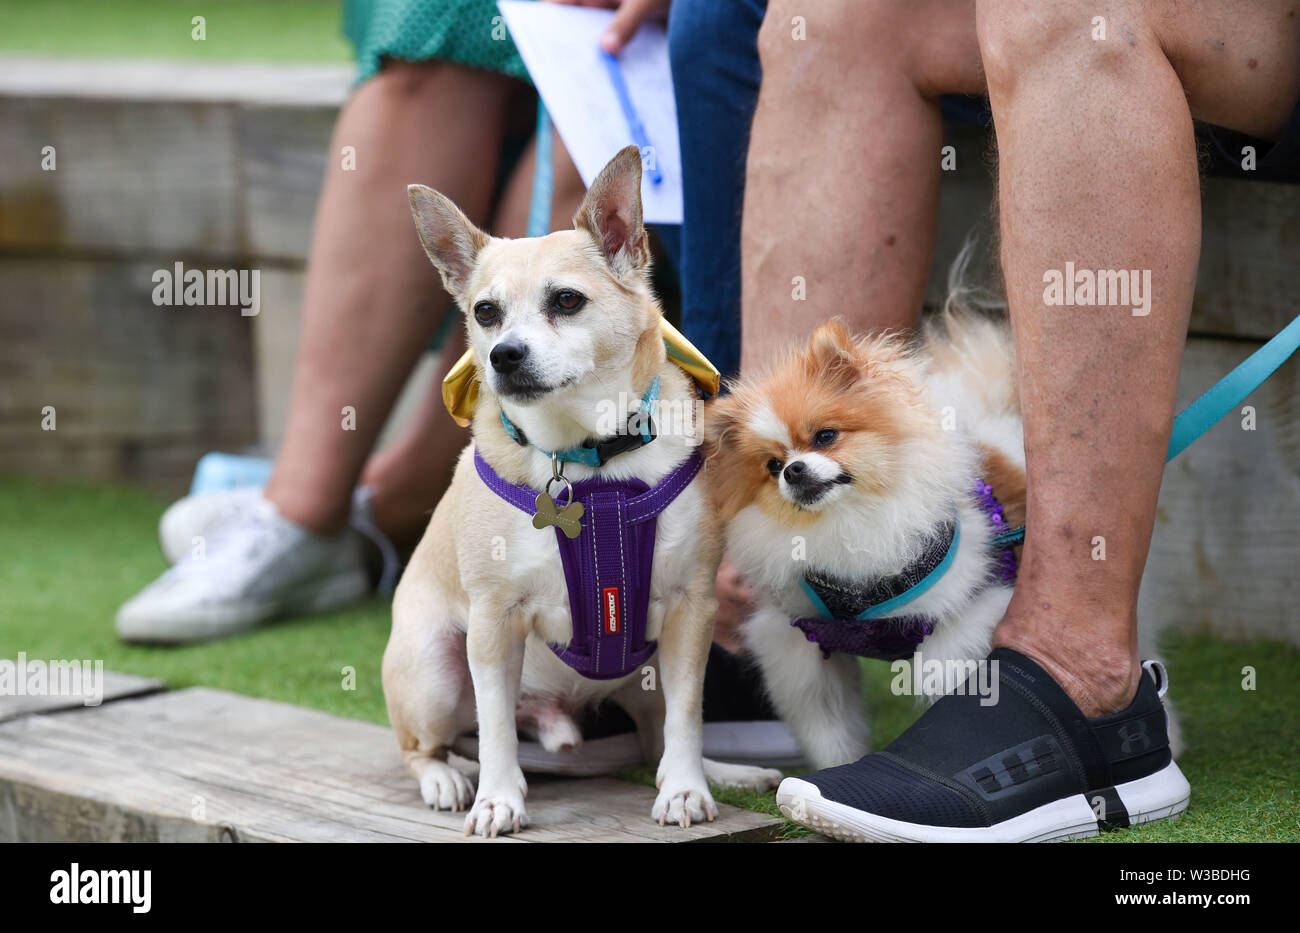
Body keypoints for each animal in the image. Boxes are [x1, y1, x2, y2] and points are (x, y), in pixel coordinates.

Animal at [379, 146, 774, 842]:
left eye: (566, 301)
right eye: (485, 313)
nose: (505, 355)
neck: (588, 460)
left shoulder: (691, 611)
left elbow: (688, 716)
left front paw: (687, 789)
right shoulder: (492, 624)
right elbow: (497, 731)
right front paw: (498, 799)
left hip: (646, 672)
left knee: (657, 735)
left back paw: (719, 772)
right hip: (433, 669)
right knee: (429, 744)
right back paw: (446, 779)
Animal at [702, 288, 1024, 769]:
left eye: (825, 436)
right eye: (773, 465)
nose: (793, 471)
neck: (846, 520)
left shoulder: (966, 616)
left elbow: (945, 679)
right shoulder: (800, 644)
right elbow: (829, 728)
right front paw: (836, 770)